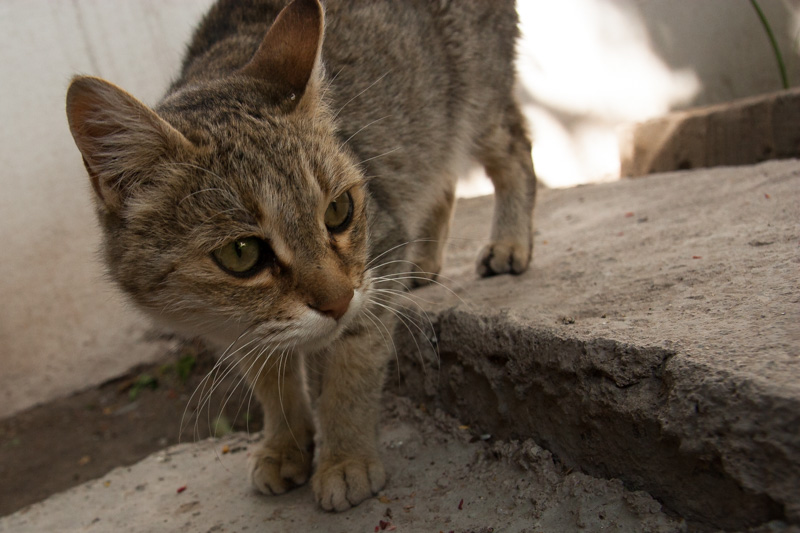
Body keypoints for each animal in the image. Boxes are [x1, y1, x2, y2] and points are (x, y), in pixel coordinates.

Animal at [65, 0, 536, 512]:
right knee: (442, 177)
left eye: (338, 211)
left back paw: (510, 243)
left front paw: (345, 458)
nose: (338, 301)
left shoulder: (376, 268)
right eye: (241, 253)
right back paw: (425, 259)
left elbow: (350, 372)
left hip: (476, 100)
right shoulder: (237, 330)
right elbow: (272, 381)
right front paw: (284, 444)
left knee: (514, 148)